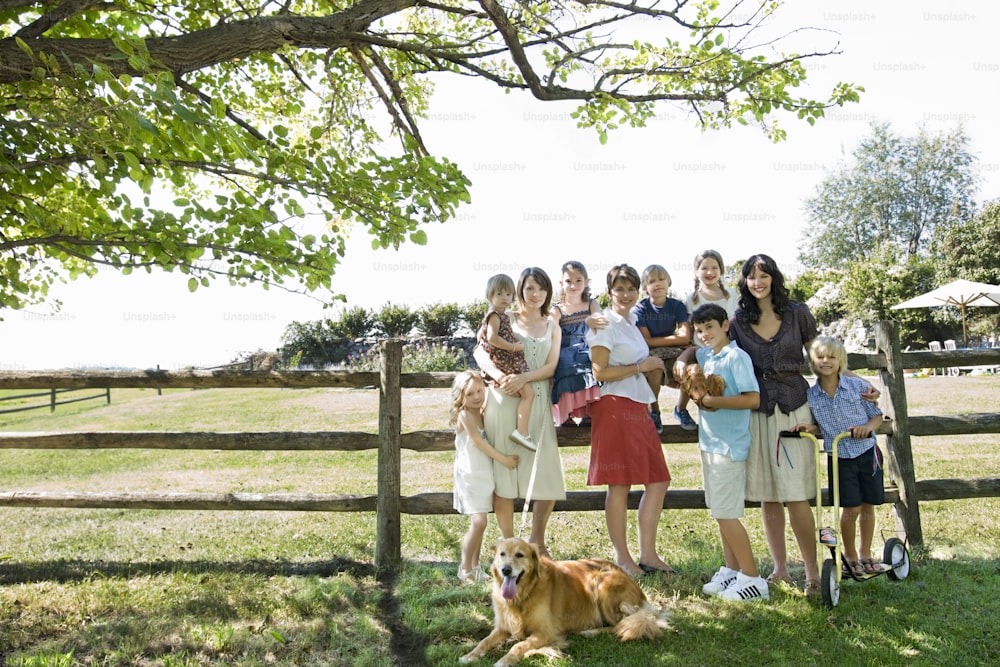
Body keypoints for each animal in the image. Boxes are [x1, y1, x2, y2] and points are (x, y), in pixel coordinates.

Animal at [462, 540, 672, 664]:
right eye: (502, 554)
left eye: (520, 555)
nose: (505, 570)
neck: (523, 594)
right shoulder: (502, 627)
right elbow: (484, 641)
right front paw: (470, 655)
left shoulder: (545, 632)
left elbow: (519, 645)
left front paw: (506, 660)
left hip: (602, 583)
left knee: (620, 624)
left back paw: (590, 631)